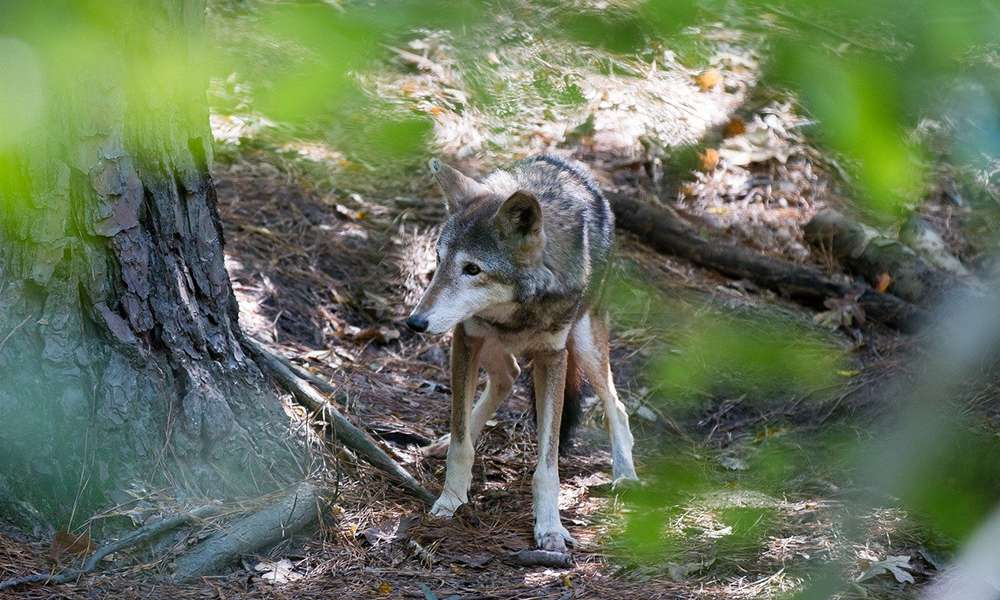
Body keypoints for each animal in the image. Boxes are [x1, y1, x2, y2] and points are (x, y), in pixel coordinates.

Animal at [406, 155, 640, 552]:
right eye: (439, 260)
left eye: (472, 269)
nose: (416, 322)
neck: (516, 310)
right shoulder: (466, 337)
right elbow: (461, 445)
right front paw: (451, 501)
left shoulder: (553, 357)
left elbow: (547, 466)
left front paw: (550, 529)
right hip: (482, 342)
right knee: (507, 377)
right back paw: (443, 441)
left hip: (584, 343)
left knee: (615, 403)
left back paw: (626, 475)